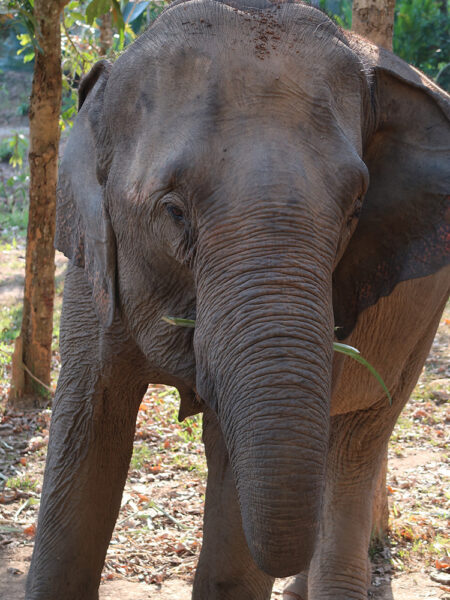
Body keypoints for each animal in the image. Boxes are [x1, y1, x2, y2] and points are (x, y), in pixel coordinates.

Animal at [25, 1, 450, 600]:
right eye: (174, 210)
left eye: (354, 211)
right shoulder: (92, 266)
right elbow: (87, 441)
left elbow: (234, 492)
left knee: (356, 440)